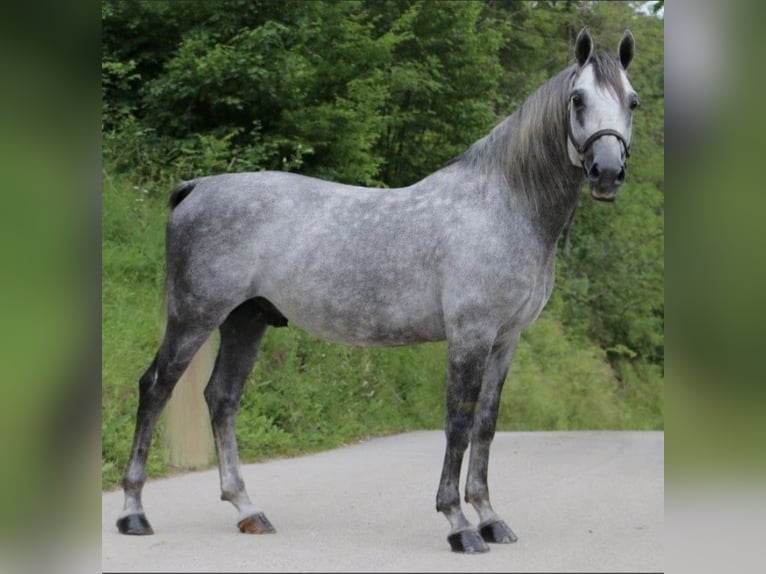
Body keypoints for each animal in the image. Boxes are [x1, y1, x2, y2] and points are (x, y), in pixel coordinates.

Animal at [117, 29, 640, 556]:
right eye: (577, 99)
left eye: (632, 101)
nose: (607, 173)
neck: (502, 205)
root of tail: (197, 186)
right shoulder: (470, 335)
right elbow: (458, 423)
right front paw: (459, 524)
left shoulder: (505, 340)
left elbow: (487, 425)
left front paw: (490, 517)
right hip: (195, 316)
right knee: (155, 388)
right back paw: (134, 513)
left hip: (246, 319)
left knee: (222, 399)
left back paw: (248, 510)